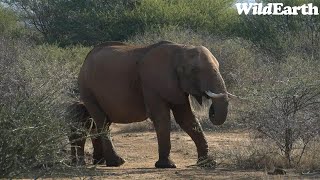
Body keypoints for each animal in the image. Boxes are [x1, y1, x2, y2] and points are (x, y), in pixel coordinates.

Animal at [74, 40, 236, 169]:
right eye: (195, 70)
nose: (211, 108)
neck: (180, 50)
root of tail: (85, 60)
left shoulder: (176, 86)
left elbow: (187, 119)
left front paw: (208, 163)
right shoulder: (151, 83)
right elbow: (162, 117)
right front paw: (167, 165)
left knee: (98, 123)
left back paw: (100, 162)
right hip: (87, 89)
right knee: (102, 121)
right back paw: (116, 162)